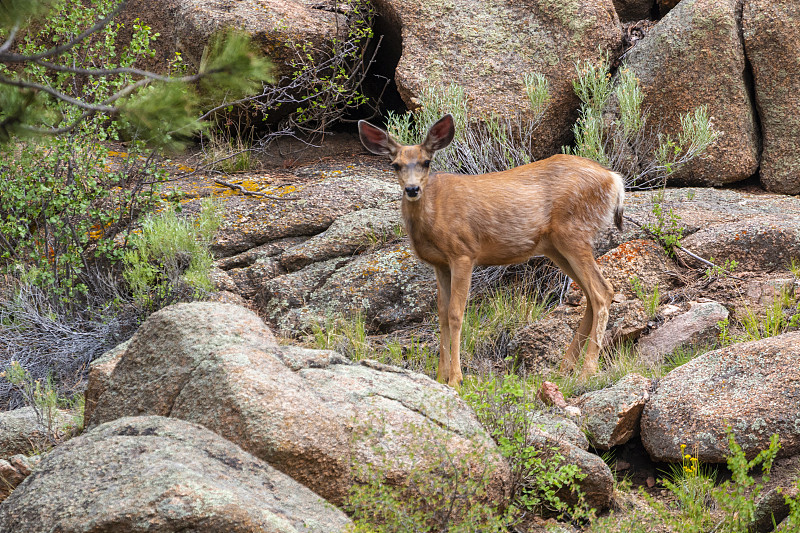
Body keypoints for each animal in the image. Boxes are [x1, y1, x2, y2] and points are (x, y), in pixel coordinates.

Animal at [358, 113, 624, 386]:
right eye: (395, 165)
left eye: (426, 162)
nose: (412, 189)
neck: (433, 215)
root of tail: (614, 179)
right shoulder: (439, 263)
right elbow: (441, 314)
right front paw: (441, 376)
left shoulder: (463, 252)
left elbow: (455, 313)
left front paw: (456, 379)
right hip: (556, 247)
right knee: (590, 295)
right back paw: (564, 368)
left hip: (574, 234)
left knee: (602, 291)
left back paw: (587, 371)